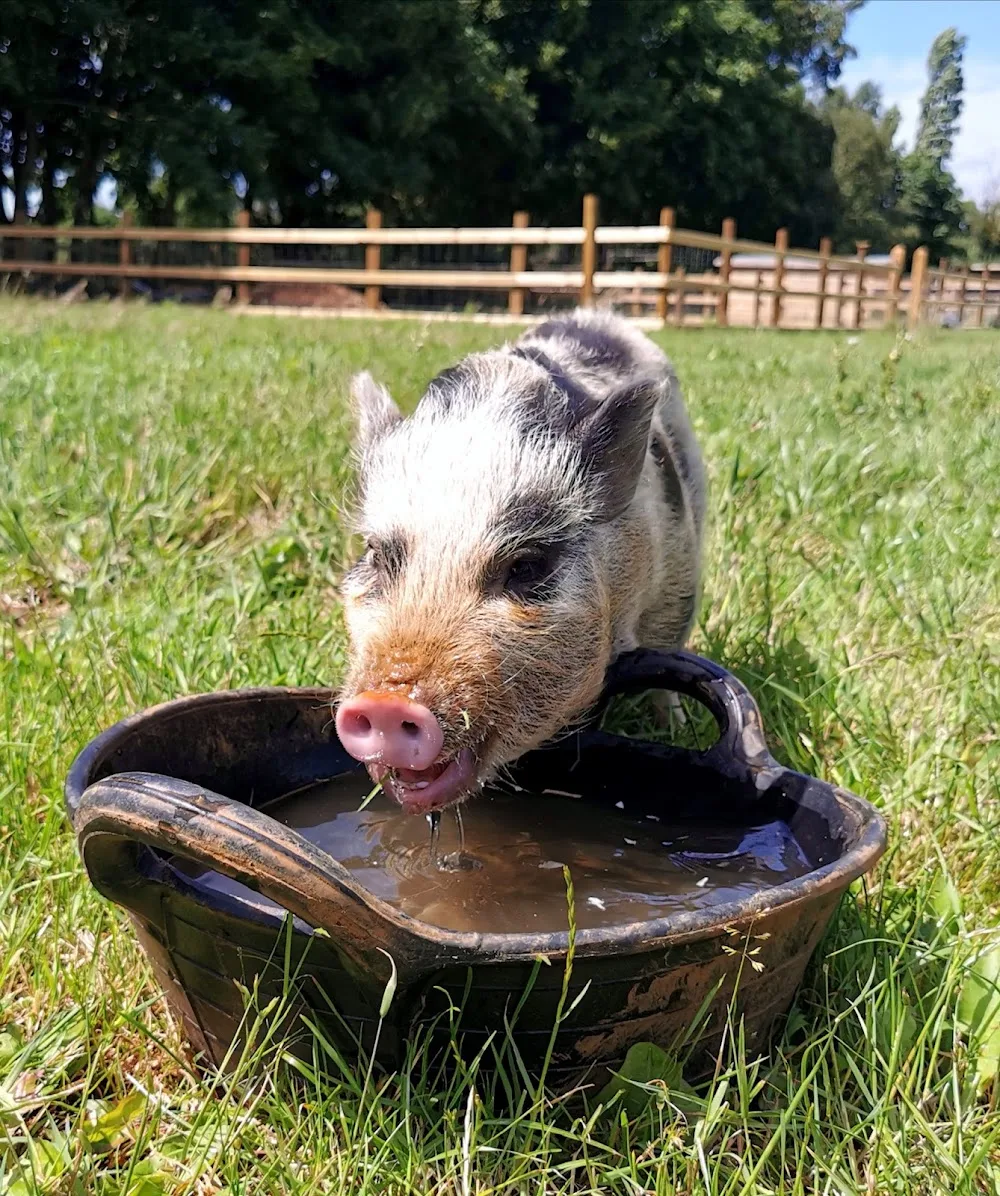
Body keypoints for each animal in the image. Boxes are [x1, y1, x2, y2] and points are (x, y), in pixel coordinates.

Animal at [335, 309, 706, 815]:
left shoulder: (677, 575)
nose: (387, 704)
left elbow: (667, 669)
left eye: (526, 567)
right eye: (378, 554)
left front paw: (676, 730)